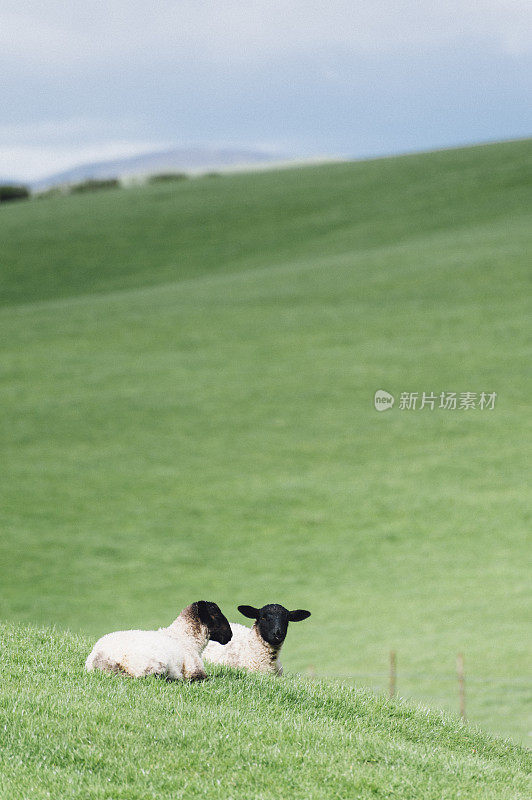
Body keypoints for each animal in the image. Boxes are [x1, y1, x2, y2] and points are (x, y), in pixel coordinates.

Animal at [84, 600, 231, 680]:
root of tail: (100, 656)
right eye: (217, 616)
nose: (230, 635)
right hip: (154, 665)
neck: (185, 638)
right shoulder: (195, 669)